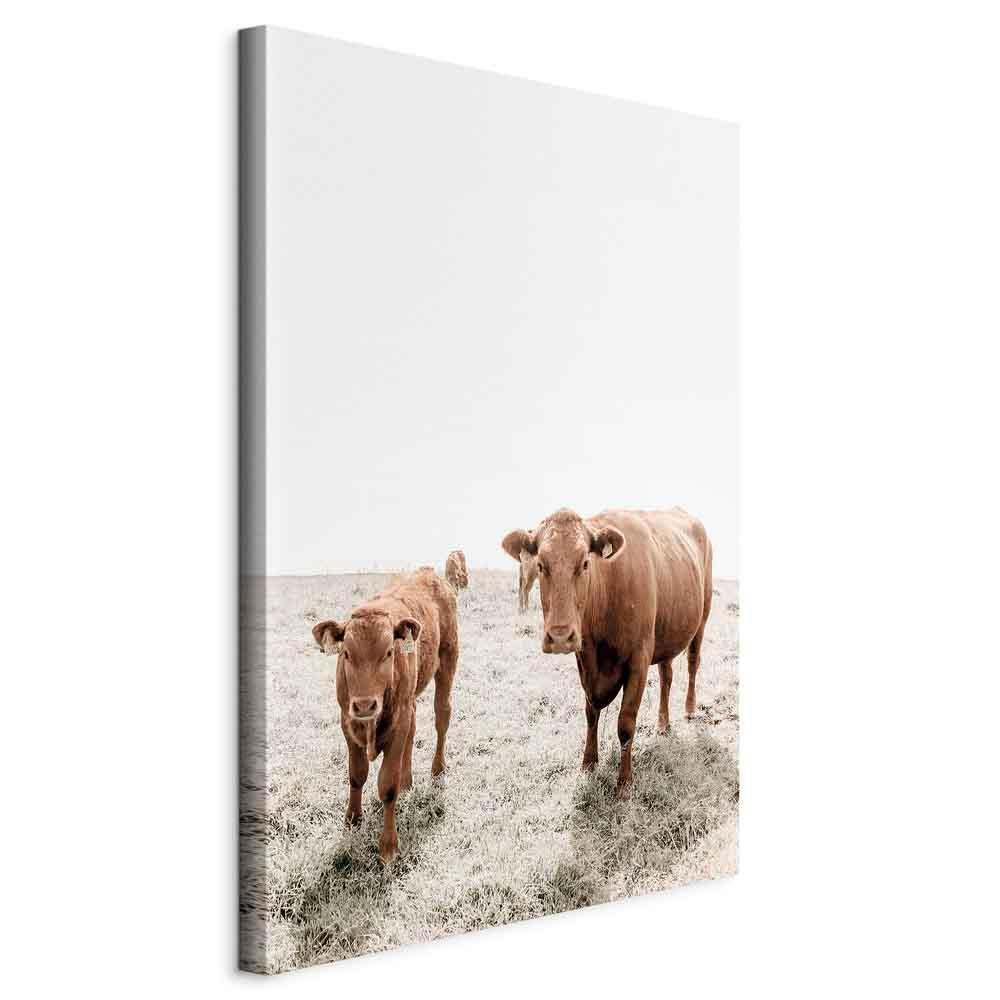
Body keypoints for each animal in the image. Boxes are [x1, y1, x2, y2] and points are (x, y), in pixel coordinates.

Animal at [311, 569, 459, 863]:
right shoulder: (348, 722)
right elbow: (356, 774)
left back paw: (437, 768)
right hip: (410, 700)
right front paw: (352, 820)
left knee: (442, 716)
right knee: (414, 729)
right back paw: (407, 780)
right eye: (346, 654)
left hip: (448, 661)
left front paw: (388, 846)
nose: (365, 705)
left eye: (388, 652)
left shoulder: (397, 722)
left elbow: (387, 786)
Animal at [501, 507, 712, 797]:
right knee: (666, 677)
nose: (560, 637)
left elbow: (625, 724)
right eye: (541, 565)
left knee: (693, 663)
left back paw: (690, 709)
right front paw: (588, 764)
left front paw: (624, 784)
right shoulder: (585, 662)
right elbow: (591, 713)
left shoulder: (638, 660)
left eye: (585, 563)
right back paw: (662, 724)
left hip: (701, 619)